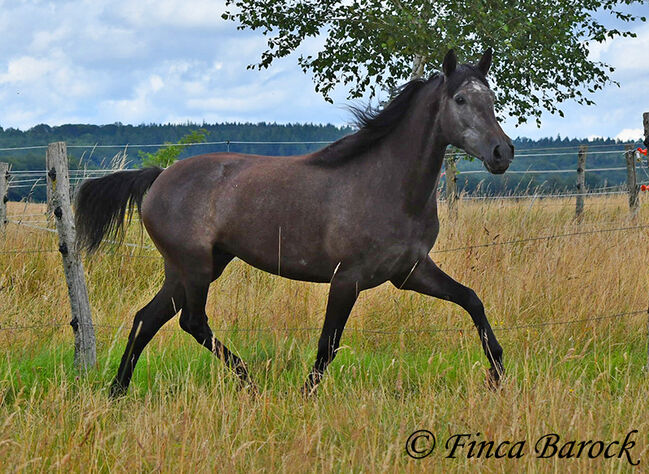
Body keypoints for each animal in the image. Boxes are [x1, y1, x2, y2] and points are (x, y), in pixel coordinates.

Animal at [74, 49, 512, 396]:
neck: (388, 186)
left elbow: (472, 299)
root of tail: (159, 177)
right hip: (194, 266)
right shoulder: (347, 278)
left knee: (147, 319)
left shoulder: (410, 271)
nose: (502, 152)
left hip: (192, 267)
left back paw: (117, 391)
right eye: (460, 99)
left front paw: (498, 373)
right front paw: (305, 395)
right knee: (192, 321)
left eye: (492, 98)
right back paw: (248, 381)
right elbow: (328, 344)